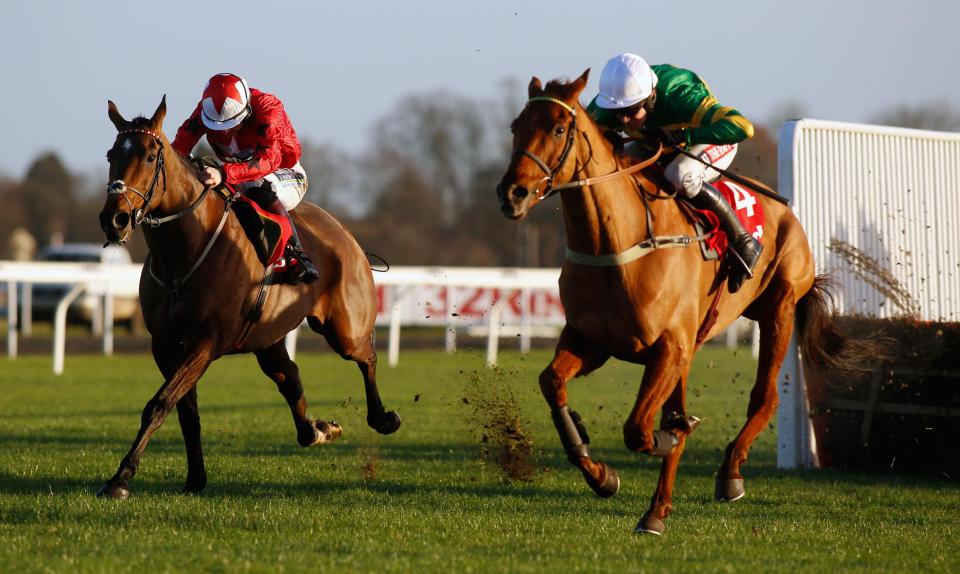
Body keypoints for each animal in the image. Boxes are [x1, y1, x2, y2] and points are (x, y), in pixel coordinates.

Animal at [94, 98, 402, 500]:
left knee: (366, 357)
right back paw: (318, 430)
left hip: (345, 328)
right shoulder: (164, 344)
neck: (184, 254)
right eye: (112, 154)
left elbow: (159, 403)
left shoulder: (205, 342)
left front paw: (120, 479)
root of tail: (347, 235)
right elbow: (184, 411)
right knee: (290, 377)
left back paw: (383, 418)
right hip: (267, 338)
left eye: (148, 156)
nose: (114, 219)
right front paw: (195, 478)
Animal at [498, 71, 880, 536]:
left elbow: (642, 430)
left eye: (557, 128)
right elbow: (553, 384)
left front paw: (669, 443)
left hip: (779, 309)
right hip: (701, 337)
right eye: (516, 126)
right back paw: (657, 508)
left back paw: (727, 475)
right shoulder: (592, 341)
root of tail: (785, 210)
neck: (619, 244)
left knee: (764, 397)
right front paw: (602, 475)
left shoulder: (668, 347)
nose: (512, 193)